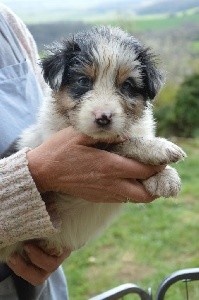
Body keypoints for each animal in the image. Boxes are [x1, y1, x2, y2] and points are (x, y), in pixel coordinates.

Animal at [0, 25, 187, 260]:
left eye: (127, 85)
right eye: (83, 81)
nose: (103, 118)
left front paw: (164, 176)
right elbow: (120, 145)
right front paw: (160, 149)